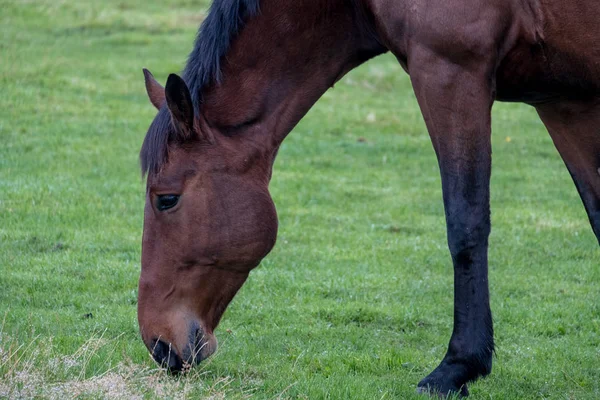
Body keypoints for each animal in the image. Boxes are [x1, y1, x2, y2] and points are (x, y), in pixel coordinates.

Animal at [138, 0, 600, 396]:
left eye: (167, 199)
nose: (158, 343)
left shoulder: (450, 71)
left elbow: (465, 222)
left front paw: (457, 367)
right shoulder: (564, 101)